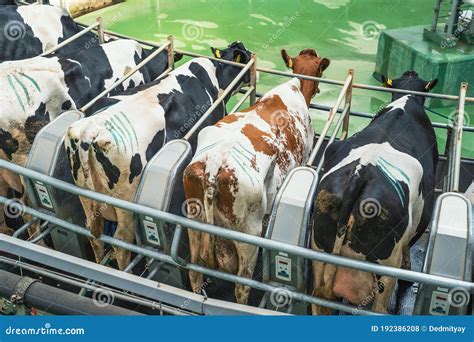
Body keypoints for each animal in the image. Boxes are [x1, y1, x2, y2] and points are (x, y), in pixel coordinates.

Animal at [65, 41, 254, 270]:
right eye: (246, 55)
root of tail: (89, 131)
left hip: (85, 196)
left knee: (93, 234)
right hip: (124, 202)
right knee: (121, 241)